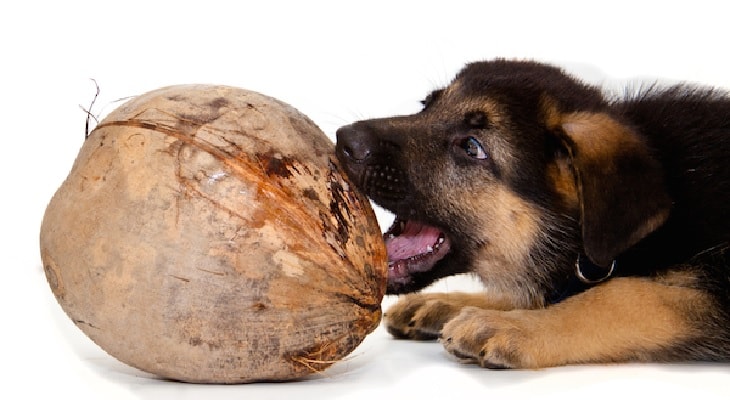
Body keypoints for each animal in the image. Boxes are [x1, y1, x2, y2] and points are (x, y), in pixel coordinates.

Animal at [334, 59, 728, 368]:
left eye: (471, 147)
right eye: (427, 106)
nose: (345, 139)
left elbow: (625, 295)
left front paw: (511, 326)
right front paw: (450, 303)